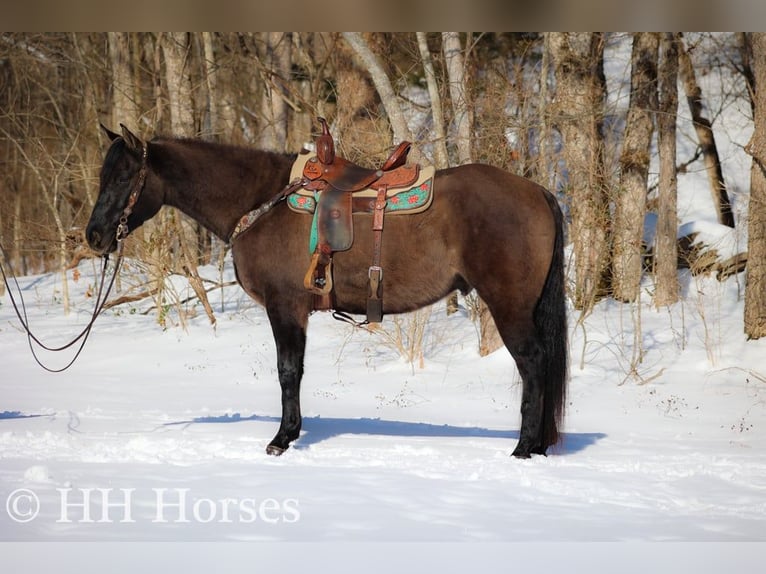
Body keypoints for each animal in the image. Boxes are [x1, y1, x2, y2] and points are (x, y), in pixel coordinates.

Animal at [85, 125, 568, 460]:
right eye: (103, 175)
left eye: (124, 176)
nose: (93, 236)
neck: (264, 202)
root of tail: (538, 191)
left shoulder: (285, 308)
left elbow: (288, 372)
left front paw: (282, 438)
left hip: (509, 306)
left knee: (533, 364)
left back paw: (524, 448)